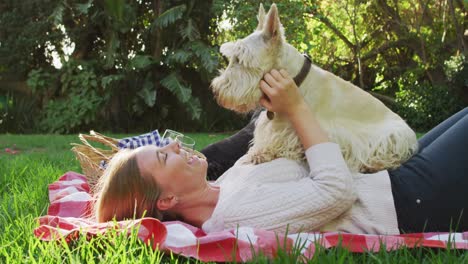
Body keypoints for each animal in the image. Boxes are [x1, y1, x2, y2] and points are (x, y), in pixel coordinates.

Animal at [210, 4, 418, 173]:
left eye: (240, 60)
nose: (216, 91)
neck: (296, 81)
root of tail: (412, 135)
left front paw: (260, 154)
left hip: (392, 137)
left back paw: (375, 164)